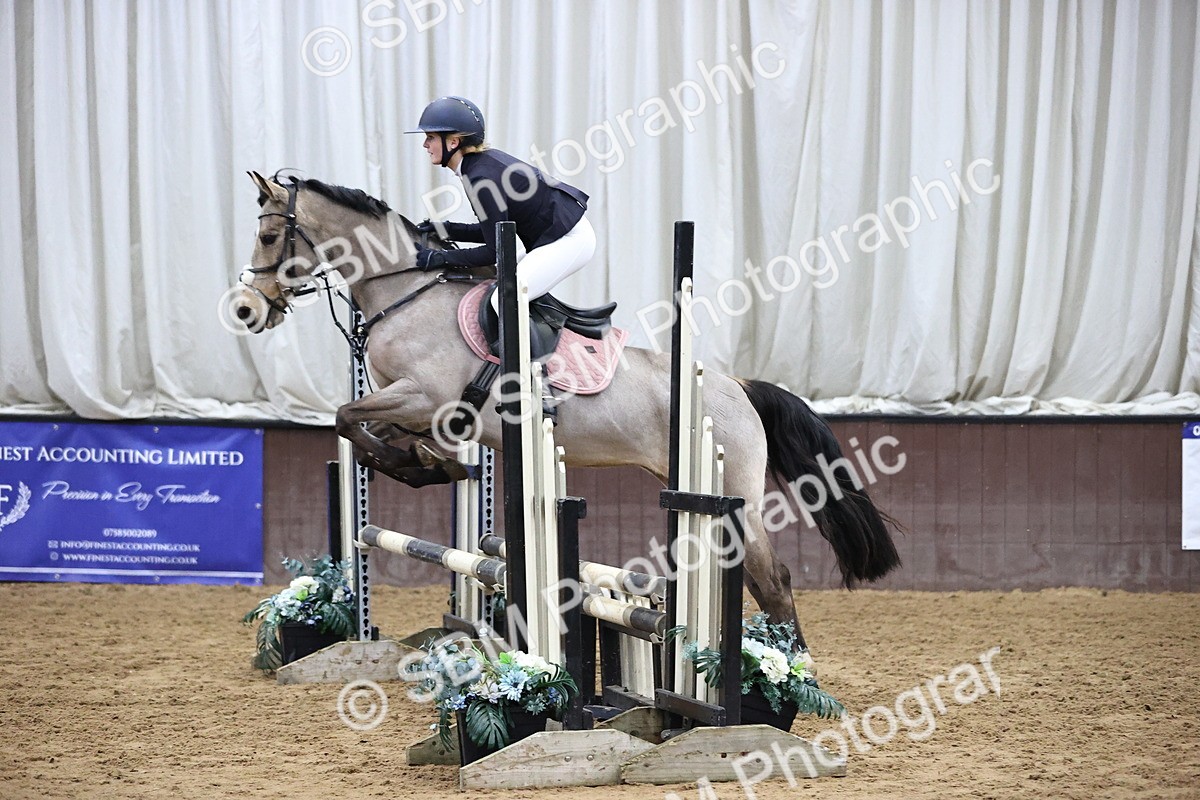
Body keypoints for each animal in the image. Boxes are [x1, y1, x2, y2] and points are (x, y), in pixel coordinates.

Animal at [228, 170, 902, 647]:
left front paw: (427, 466)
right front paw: (426, 466)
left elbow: (348, 418)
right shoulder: (412, 406)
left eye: (268, 235)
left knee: (773, 580)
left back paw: (792, 674)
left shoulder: (428, 397)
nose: (245, 310)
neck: (405, 289)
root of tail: (735, 385)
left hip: (735, 498)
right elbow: (367, 430)